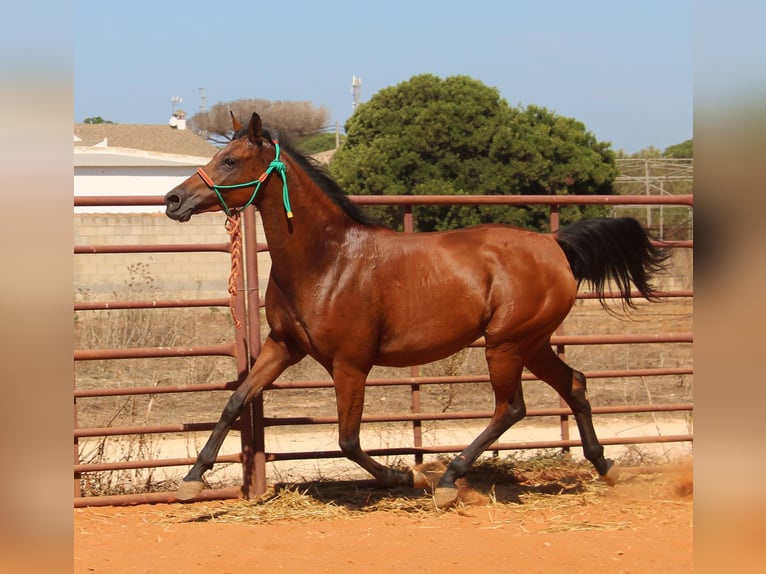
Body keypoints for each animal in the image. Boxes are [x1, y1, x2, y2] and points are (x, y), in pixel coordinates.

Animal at [166, 112, 664, 508]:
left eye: (230, 161)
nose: (174, 200)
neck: (327, 259)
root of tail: (554, 243)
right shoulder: (284, 345)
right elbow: (236, 401)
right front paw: (192, 480)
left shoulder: (350, 364)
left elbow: (347, 440)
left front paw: (405, 474)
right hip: (533, 343)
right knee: (574, 384)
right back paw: (606, 467)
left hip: (506, 345)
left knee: (510, 408)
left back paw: (446, 480)